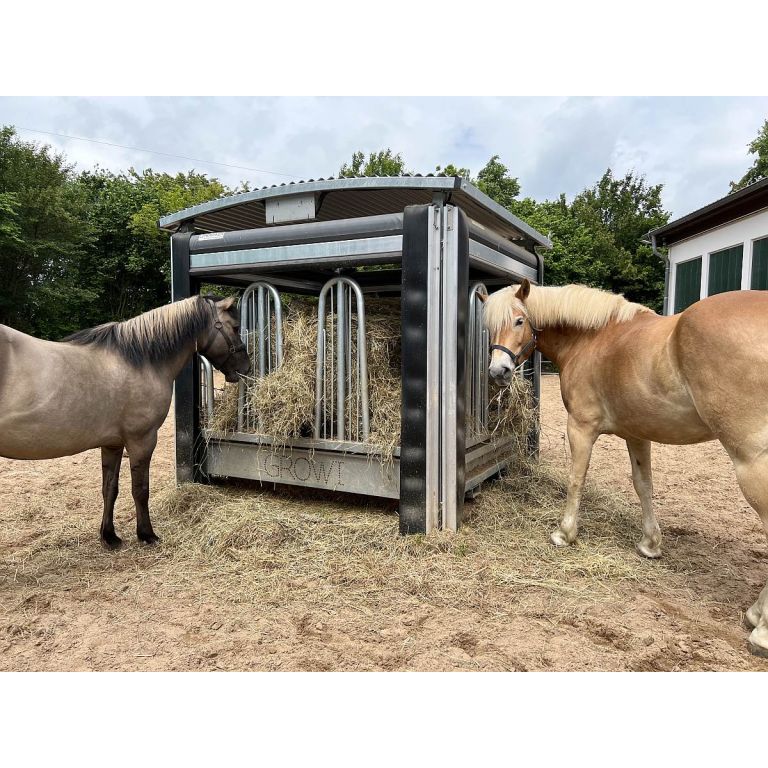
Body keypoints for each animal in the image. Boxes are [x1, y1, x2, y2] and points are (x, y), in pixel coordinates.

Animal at [0, 296, 249, 548]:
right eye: (235, 327)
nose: (246, 368)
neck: (141, 361)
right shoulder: (142, 440)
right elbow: (140, 489)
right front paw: (147, 534)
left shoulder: (113, 443)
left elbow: (110, 488)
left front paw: (109, 536)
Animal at [484, 280, 768, 656]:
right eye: (489, 326)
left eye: (519, 321)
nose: (498, 372)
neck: (592, 339)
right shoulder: (637, 434)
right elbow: (643, 486)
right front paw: (650, 544)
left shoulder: (581, 427)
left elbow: (576, 480)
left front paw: (565, 533)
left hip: (751, 461)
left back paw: (761, 628)